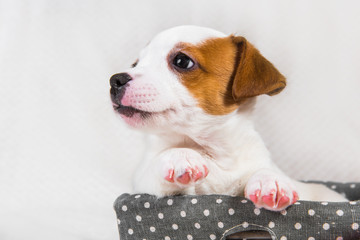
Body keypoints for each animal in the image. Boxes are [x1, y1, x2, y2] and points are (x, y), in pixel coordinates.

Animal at [109, 25, 346, 211]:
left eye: (182, 61)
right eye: (135, 64)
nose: (115, 80)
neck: (215, 153)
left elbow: (265, 169)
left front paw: (270, 180)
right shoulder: (145, 183)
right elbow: (157, 166)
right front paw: (179, 155)